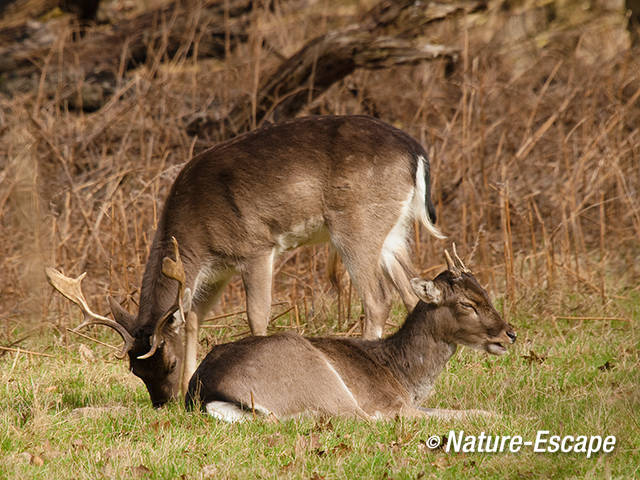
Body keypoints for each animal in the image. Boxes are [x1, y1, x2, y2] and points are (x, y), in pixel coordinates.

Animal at [47, 114, 442, 406]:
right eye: (135, 371)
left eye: (168, 362)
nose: (163, 403)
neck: (196, 233)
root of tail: (417, 154)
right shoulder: (216, 271)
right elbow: (193, 318)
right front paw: (191, 385)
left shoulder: (255, 246)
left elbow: (257, 314)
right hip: (393, 231)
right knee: (413, 292)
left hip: (355, 220)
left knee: (378, 299)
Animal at [184, 248, 516, 420]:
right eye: (467, 303)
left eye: (486, 292)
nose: (509, 334)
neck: (403, 376)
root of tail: (206, 390)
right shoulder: (392, 404)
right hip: (319, 378)